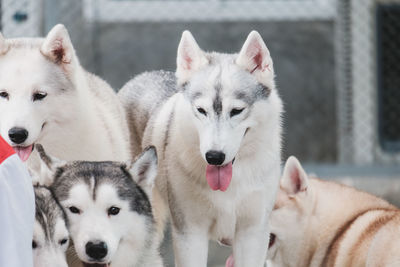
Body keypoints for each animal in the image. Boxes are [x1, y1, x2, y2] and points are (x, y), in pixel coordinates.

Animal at [117, 30, 282, 266]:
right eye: (201, 110)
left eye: (236, 111)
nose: (214, 156)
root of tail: (140, 77)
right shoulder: (190, 234)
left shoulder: (253, 233)